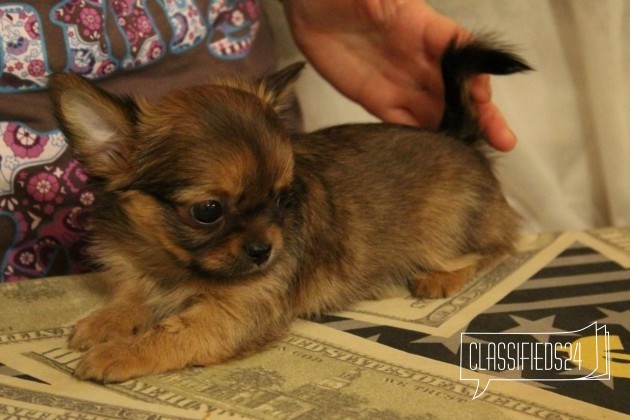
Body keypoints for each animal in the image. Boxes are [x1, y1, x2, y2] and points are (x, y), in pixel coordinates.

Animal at [50, 39, 532, 384]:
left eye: (283, 199)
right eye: (208, 211)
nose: (264, 251)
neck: (173, 265)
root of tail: (457, 136)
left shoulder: (232, 315)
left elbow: (171, 333)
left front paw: (121, 352)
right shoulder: (139, 271)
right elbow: (130, 296)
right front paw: (104, 322)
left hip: (450, 229)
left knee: (495, 248)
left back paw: (441, 277)